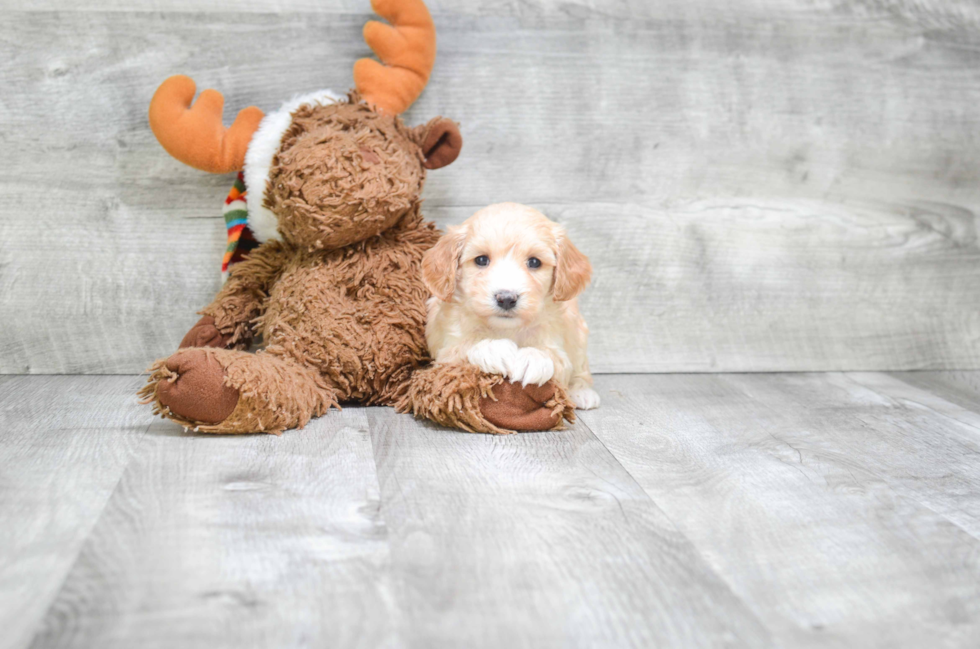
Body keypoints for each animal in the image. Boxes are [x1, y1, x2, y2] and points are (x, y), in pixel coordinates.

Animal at [420, 200, 600, 408]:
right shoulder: (446, 351)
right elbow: (464, 347)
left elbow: (557, 359)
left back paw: (582, 392)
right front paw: (493, 349)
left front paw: (533, 358)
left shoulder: (556, 339)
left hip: (578, 332)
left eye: (534, 262)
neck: (507, 328)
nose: (506, 298)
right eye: (481, 260)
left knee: (580, 366)